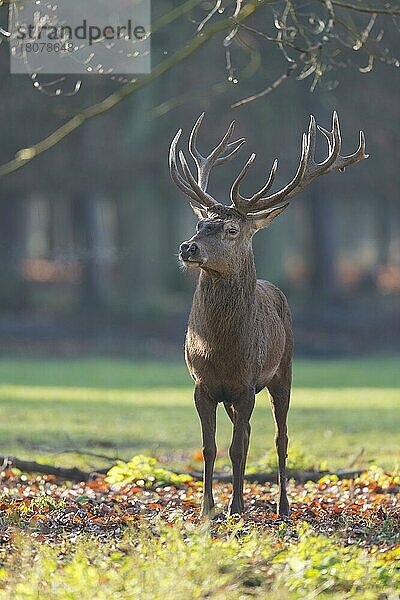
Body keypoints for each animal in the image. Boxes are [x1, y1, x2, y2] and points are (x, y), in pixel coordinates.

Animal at [167, 112, 368, 516]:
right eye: (199, 224)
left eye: (231, 229)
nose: (187, 248)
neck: (219, 350)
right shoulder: (202, 384)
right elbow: (211, 448)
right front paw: (207, 509)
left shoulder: (246, 384)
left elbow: (236, 448)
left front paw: (235, 508)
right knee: (247, 434)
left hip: (284, 370)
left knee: (280, 436)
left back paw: (283, 506)